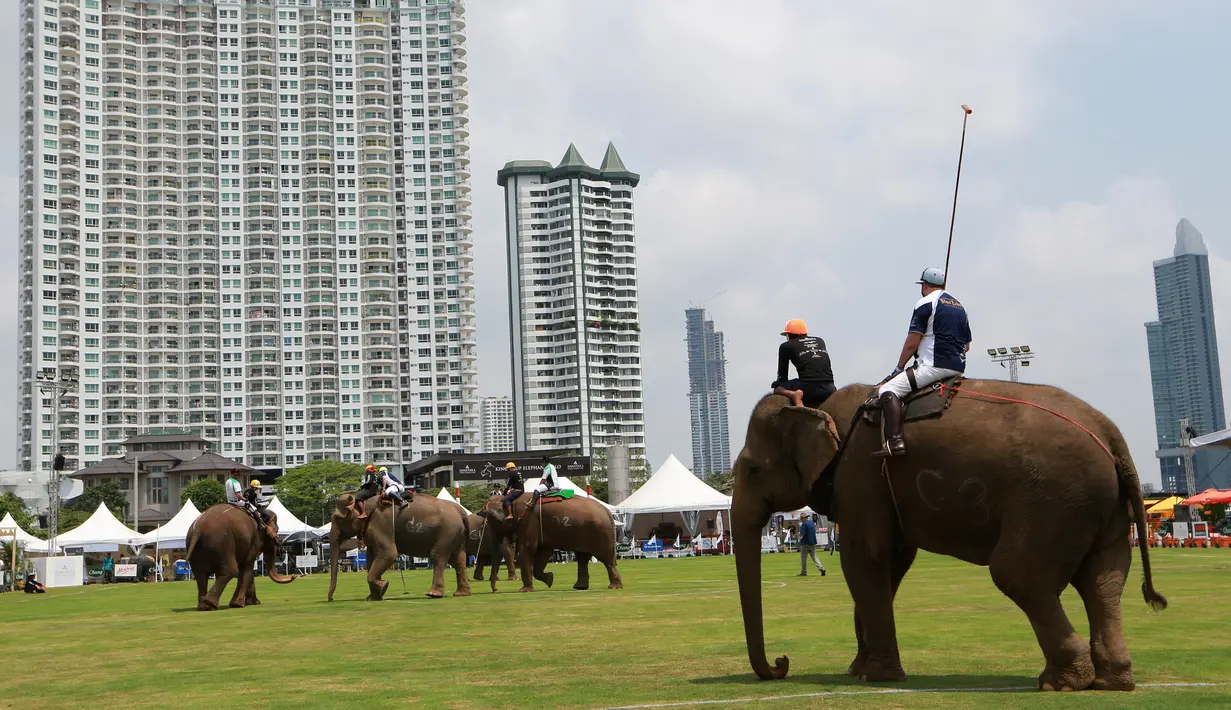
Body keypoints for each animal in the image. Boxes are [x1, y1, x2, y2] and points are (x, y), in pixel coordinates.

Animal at [327, 492, 470, 598]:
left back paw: (433, 594)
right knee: (458, 560)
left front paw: (384, 585)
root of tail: (460, 510)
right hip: (456, 535)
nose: (331, 599)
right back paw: (461, 593)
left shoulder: (381, 524)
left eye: (338, 518)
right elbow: (370, 559)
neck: (364, 504)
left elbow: (389, 553)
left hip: (448, 531)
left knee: (438, 556)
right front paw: (374, 596)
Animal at [475, 492, 620, 593]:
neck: (509, 499)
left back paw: (614, 587)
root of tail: (608, 512)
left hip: (600, 534)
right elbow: (543, 552)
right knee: (583, 557)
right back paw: (580, 587)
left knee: (606, 559)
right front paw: (550, 579)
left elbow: (527, 549)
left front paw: (525, 591)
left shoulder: (529, 521)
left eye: (488, 522)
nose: (495, 590)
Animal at [728, 381, 1162, 694]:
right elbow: (891, 565)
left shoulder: (860, 475)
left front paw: (876, 676)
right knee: (1103, 582)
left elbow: (864, 559)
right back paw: (1113, 681)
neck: (822, 406)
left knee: (1019, 574)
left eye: (751, 470)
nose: (782, 663)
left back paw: (1060, 683)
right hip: (1099, 509)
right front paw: (858, 670)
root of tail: (1112, 435)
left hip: (1053, 500)